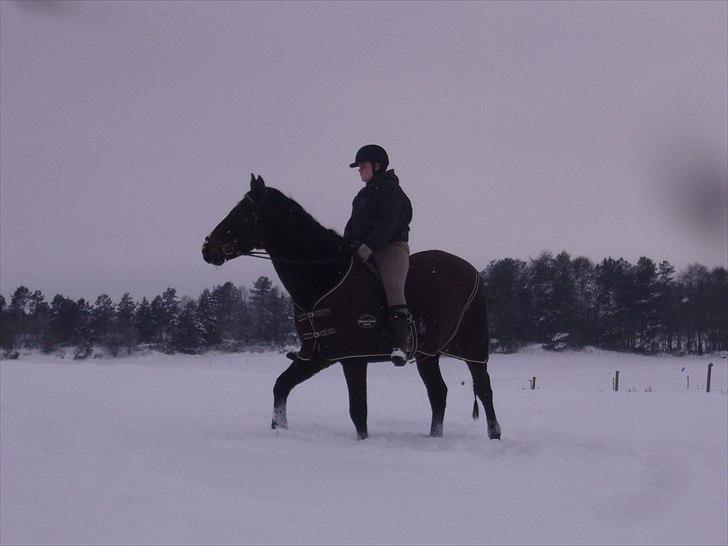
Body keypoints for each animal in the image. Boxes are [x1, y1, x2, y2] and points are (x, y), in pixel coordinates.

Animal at [203, 174, 500, 438]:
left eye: (242, 213)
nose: (207, 248)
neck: (325, 276)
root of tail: (471, 271)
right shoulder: (317, 356)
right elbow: (281, 386)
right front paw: (279, 428)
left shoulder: (353, 358)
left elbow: (358, 411)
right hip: (428, 355)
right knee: (438, 393)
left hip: (473, 349)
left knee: (484, 389)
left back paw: (494, 435)